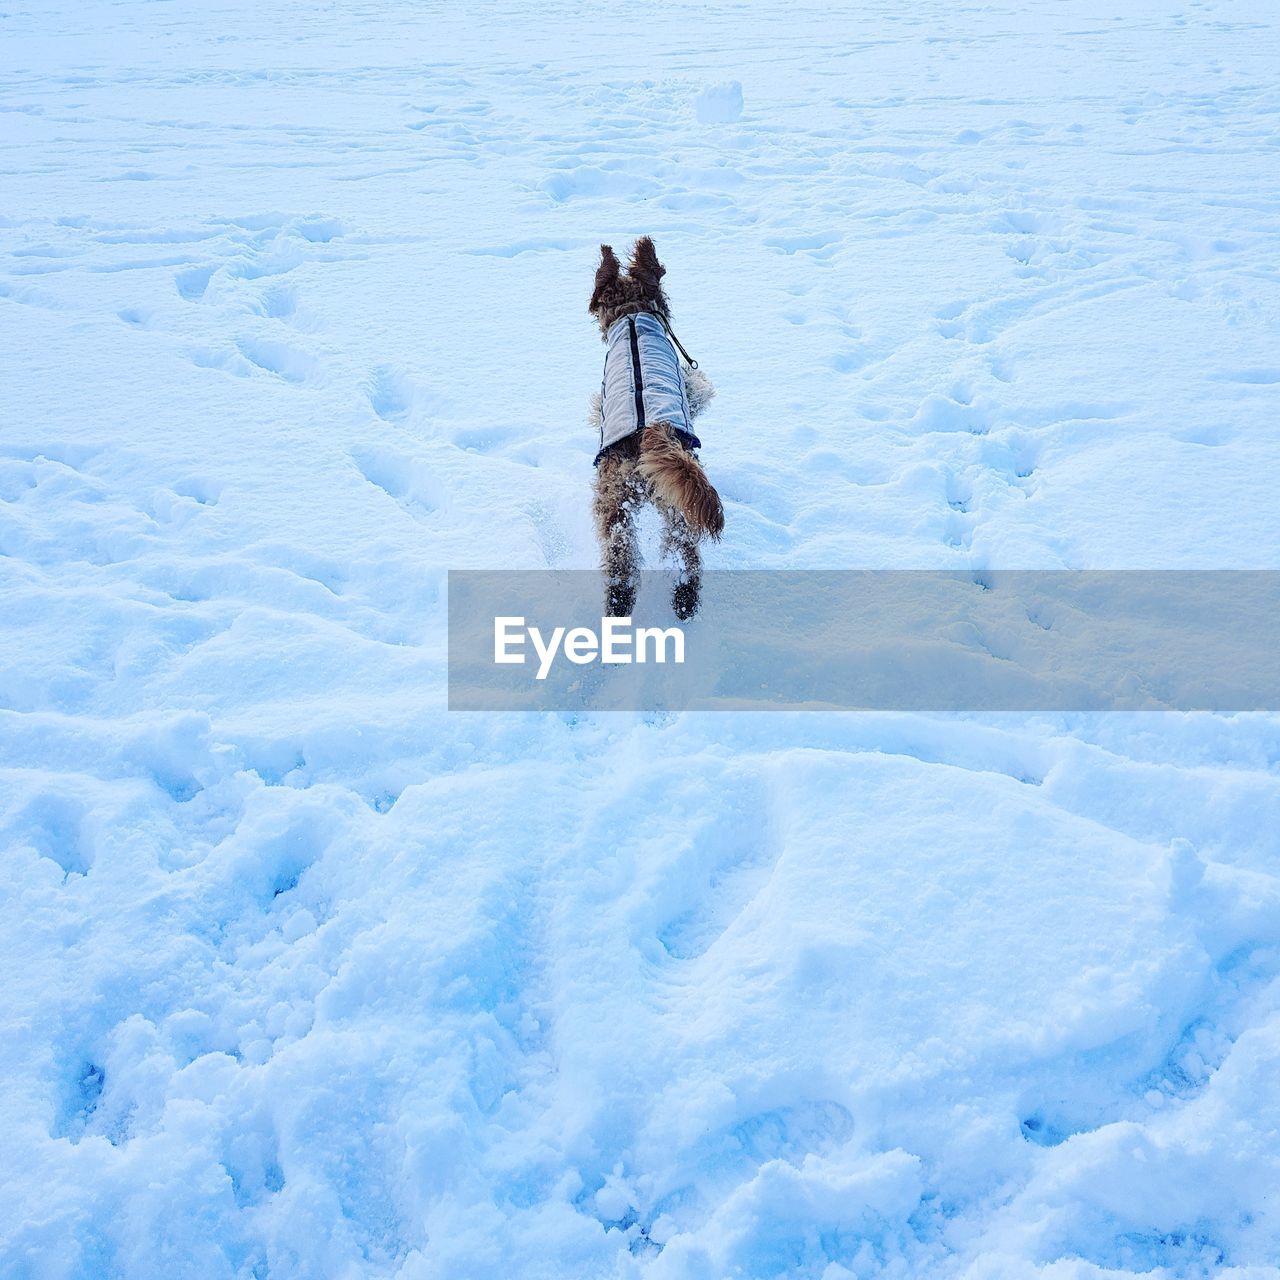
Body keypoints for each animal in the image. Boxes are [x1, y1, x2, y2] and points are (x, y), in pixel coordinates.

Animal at [586, 241, 721, 622]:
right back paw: (678, 600)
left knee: (628, 559)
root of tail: (649, 433)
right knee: (679, 552)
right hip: (667, 505)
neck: (632, 315)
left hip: (614, 504)